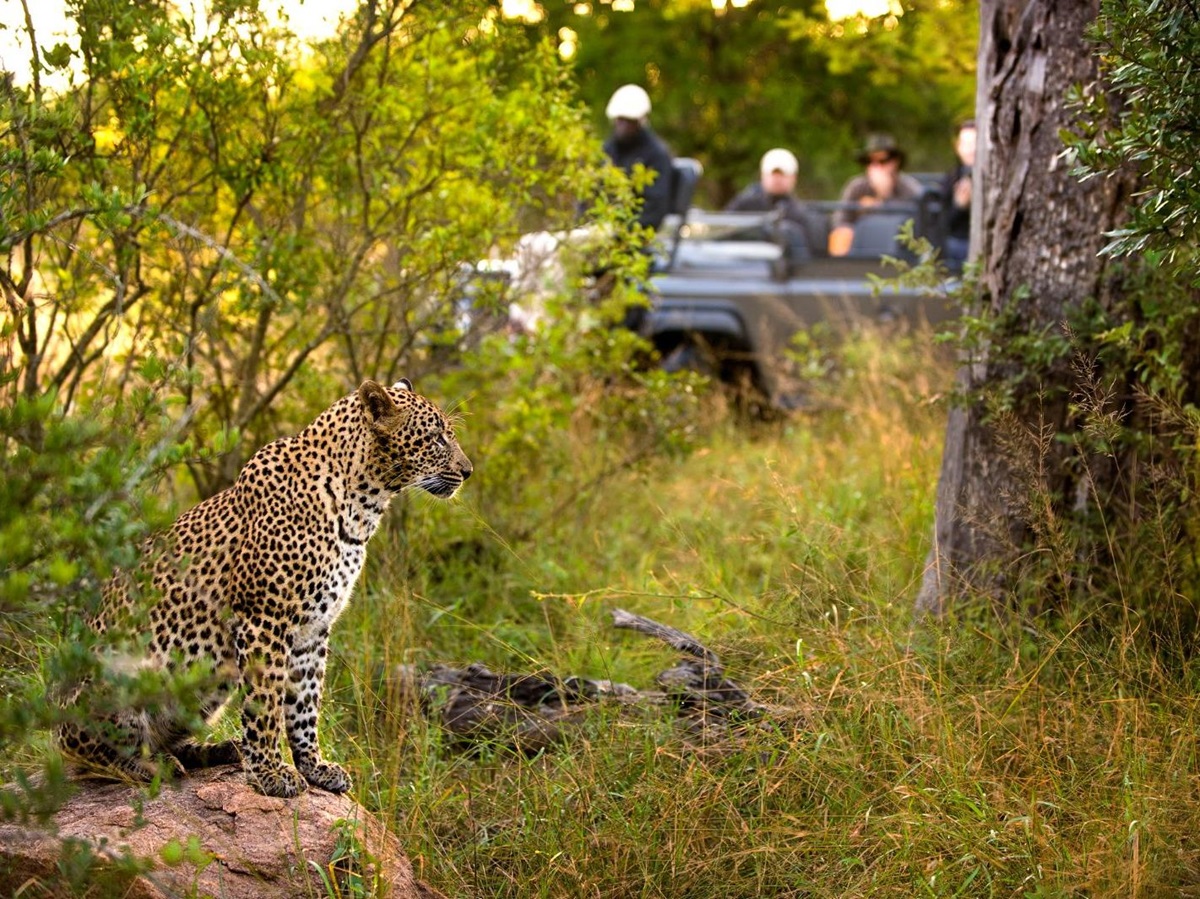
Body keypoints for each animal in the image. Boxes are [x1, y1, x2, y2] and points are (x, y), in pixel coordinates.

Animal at [56, 379, 472, 797]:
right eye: (436, 437)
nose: (468, 471)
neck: (362, 507)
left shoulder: (313, 630)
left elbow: (304, 704)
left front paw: (314, 767)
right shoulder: (264, 619)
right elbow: (266, 703)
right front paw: (271, 773)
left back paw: (218, 750)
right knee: (88, 752)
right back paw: (152, 767)